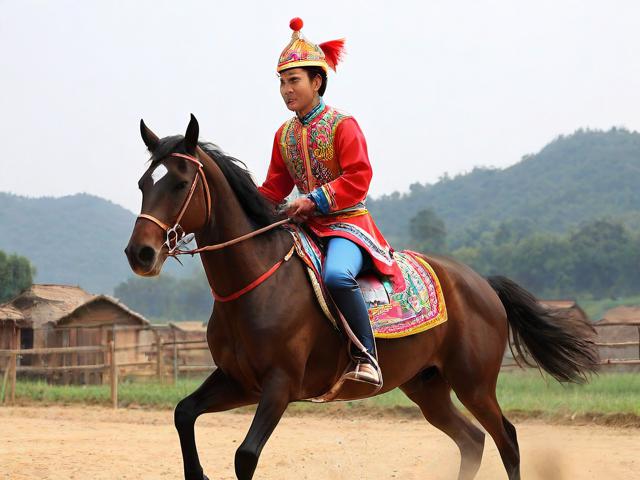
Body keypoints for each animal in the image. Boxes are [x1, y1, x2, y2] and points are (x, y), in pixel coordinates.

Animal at [125, 115, 599, 480]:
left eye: (180, 183)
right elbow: (183, 413)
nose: (140, 253)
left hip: (474, 383)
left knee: (507, 440)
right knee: (473, 441)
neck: (258, 283)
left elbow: (245, 456)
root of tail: (481, 283)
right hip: (428, 387)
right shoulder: (238, 381)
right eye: (144, 183)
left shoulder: (279, 385)